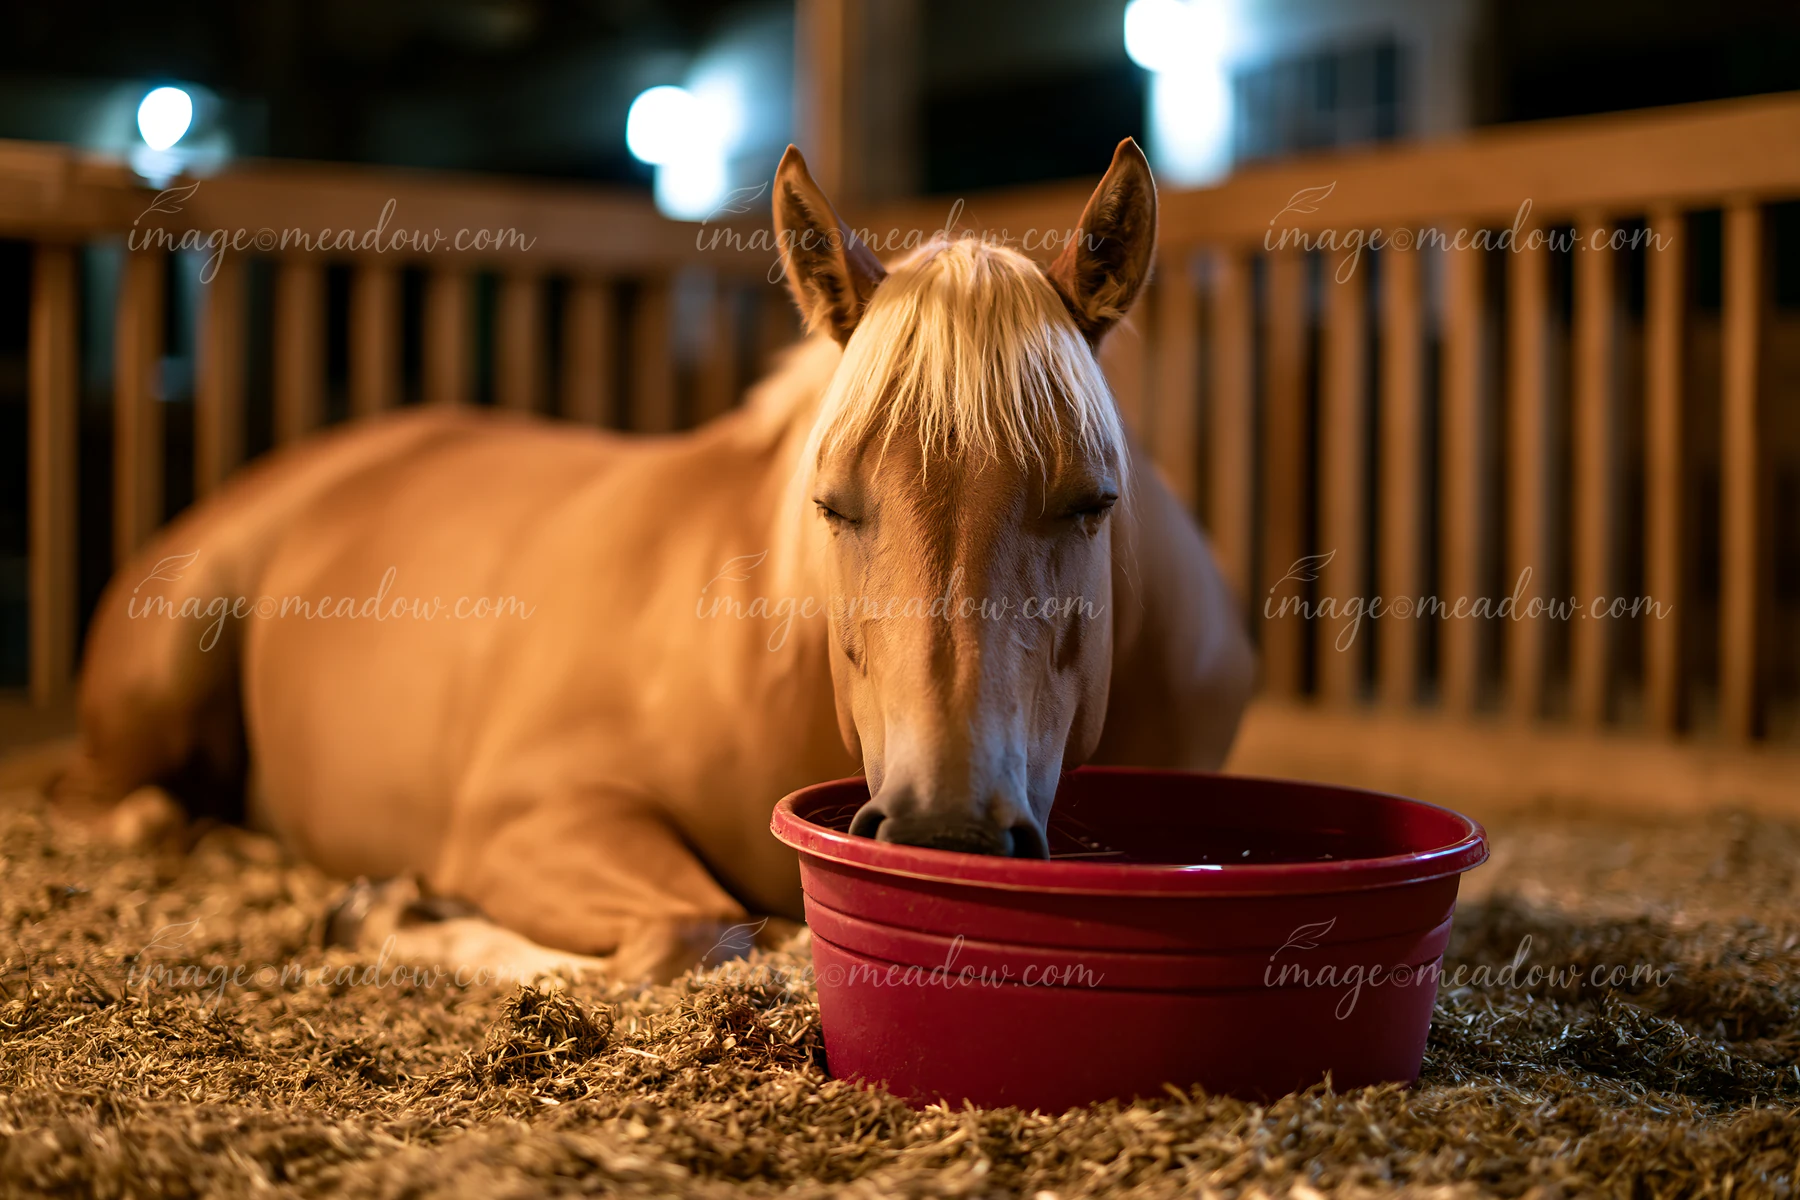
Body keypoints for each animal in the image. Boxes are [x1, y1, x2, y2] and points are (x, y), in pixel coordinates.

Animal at [62, 139, 1254, 984]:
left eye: (1092, 502)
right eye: (832, 504)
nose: (944, 830)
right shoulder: (534, 820)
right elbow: (706, 933)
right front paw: (391, 914)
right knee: (145, 810)